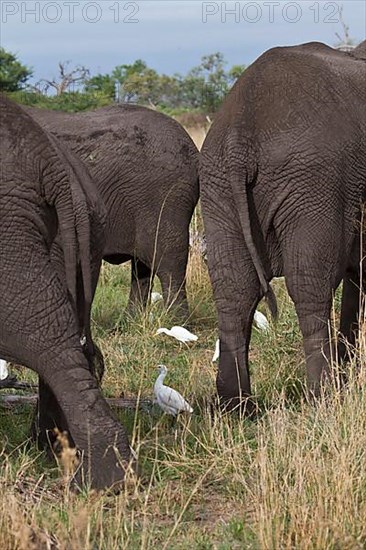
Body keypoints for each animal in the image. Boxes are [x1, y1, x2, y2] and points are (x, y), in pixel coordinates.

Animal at [25, 104, 200, 320]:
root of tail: (193, 150)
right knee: (142, 267)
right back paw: (129, 321)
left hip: (166, 196)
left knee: (168, 263)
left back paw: (177, 322)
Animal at [200, 41, 366, 412]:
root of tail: (240, 131)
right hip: (315, 183)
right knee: (310, 285)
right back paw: (324, 397)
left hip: (217, 187)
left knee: (233, 289)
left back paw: (236, 406)